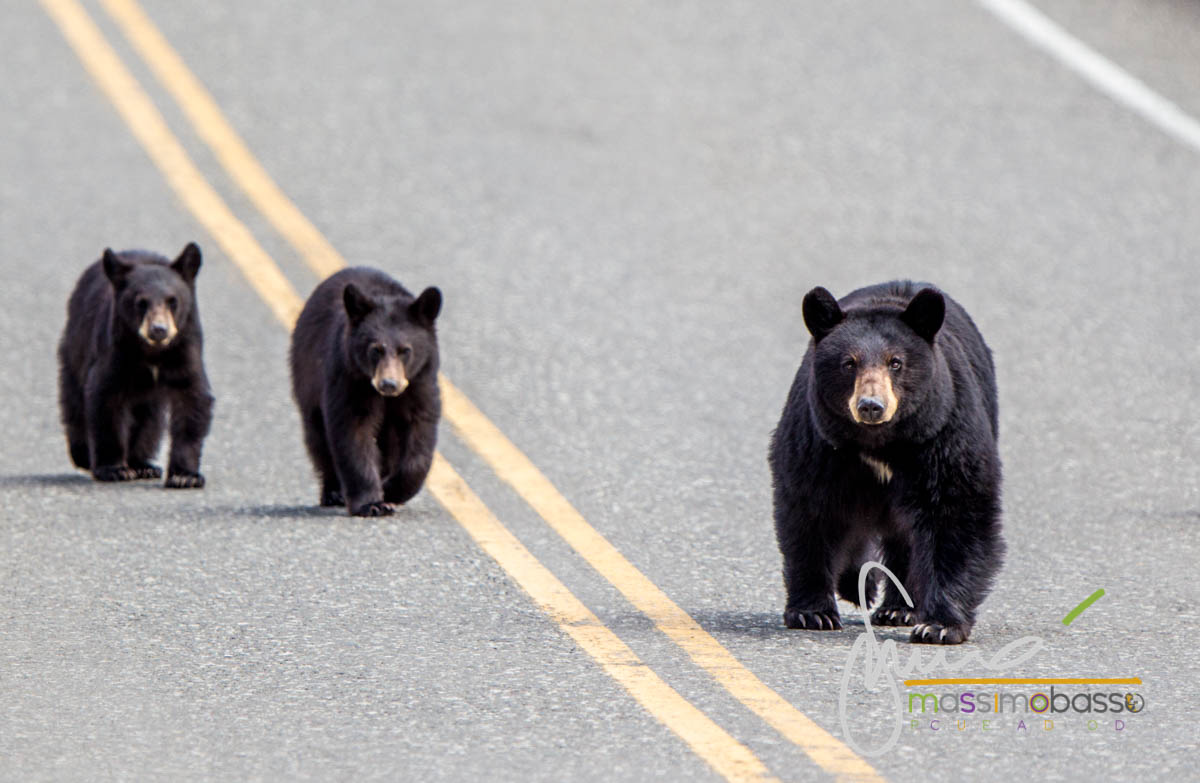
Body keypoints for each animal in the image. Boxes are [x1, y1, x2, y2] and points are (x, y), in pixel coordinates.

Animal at [58, 243, 214, 487]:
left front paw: (185, 476)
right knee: (74, 400)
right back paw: (83, 453)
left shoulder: (186, 348)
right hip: (75, 347)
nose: (159, 330)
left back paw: (142, 465)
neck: (153, 352)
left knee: (148, 420)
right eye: (141, 303)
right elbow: (105, 397)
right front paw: (114, 469)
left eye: (173, 301)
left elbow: (192, 400)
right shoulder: (114, 350)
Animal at [290, 267, 442, 517]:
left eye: (405, 350)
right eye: (375, 350)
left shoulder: (420, 382)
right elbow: (353, 432)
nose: (389, 384)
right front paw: (371, 503)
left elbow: (419, 431)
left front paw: (392, 490)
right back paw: (333, 492)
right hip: (307, 380)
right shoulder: (348, 378)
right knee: (318, 438)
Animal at [768, 281, 1004, 644]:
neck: (881, 444)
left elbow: (957, 511)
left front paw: (939, 625)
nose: (871, 405)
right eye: (848, 363)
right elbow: (809, 511)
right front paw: (812, 612)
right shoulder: (818, 442)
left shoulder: (943, 434)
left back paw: (899, 607)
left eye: (896, 362)